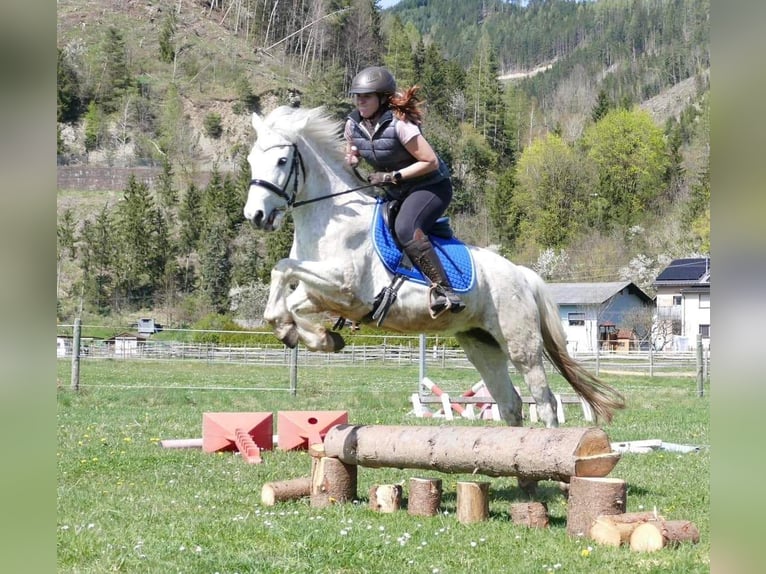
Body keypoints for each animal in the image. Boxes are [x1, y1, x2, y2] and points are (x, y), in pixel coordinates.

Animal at [243, 107, 628, 432]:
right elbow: (286, 297)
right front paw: (312, 336)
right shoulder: (321, 294)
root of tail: (521, 273)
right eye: (250, 160)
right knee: (510, 403)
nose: (255, 216)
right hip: (481, 344)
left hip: (521, 345)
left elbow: (282, 268)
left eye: (281, 160)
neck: (331, 219)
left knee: (544, 400)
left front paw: (307, 334)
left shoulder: (345, 285)